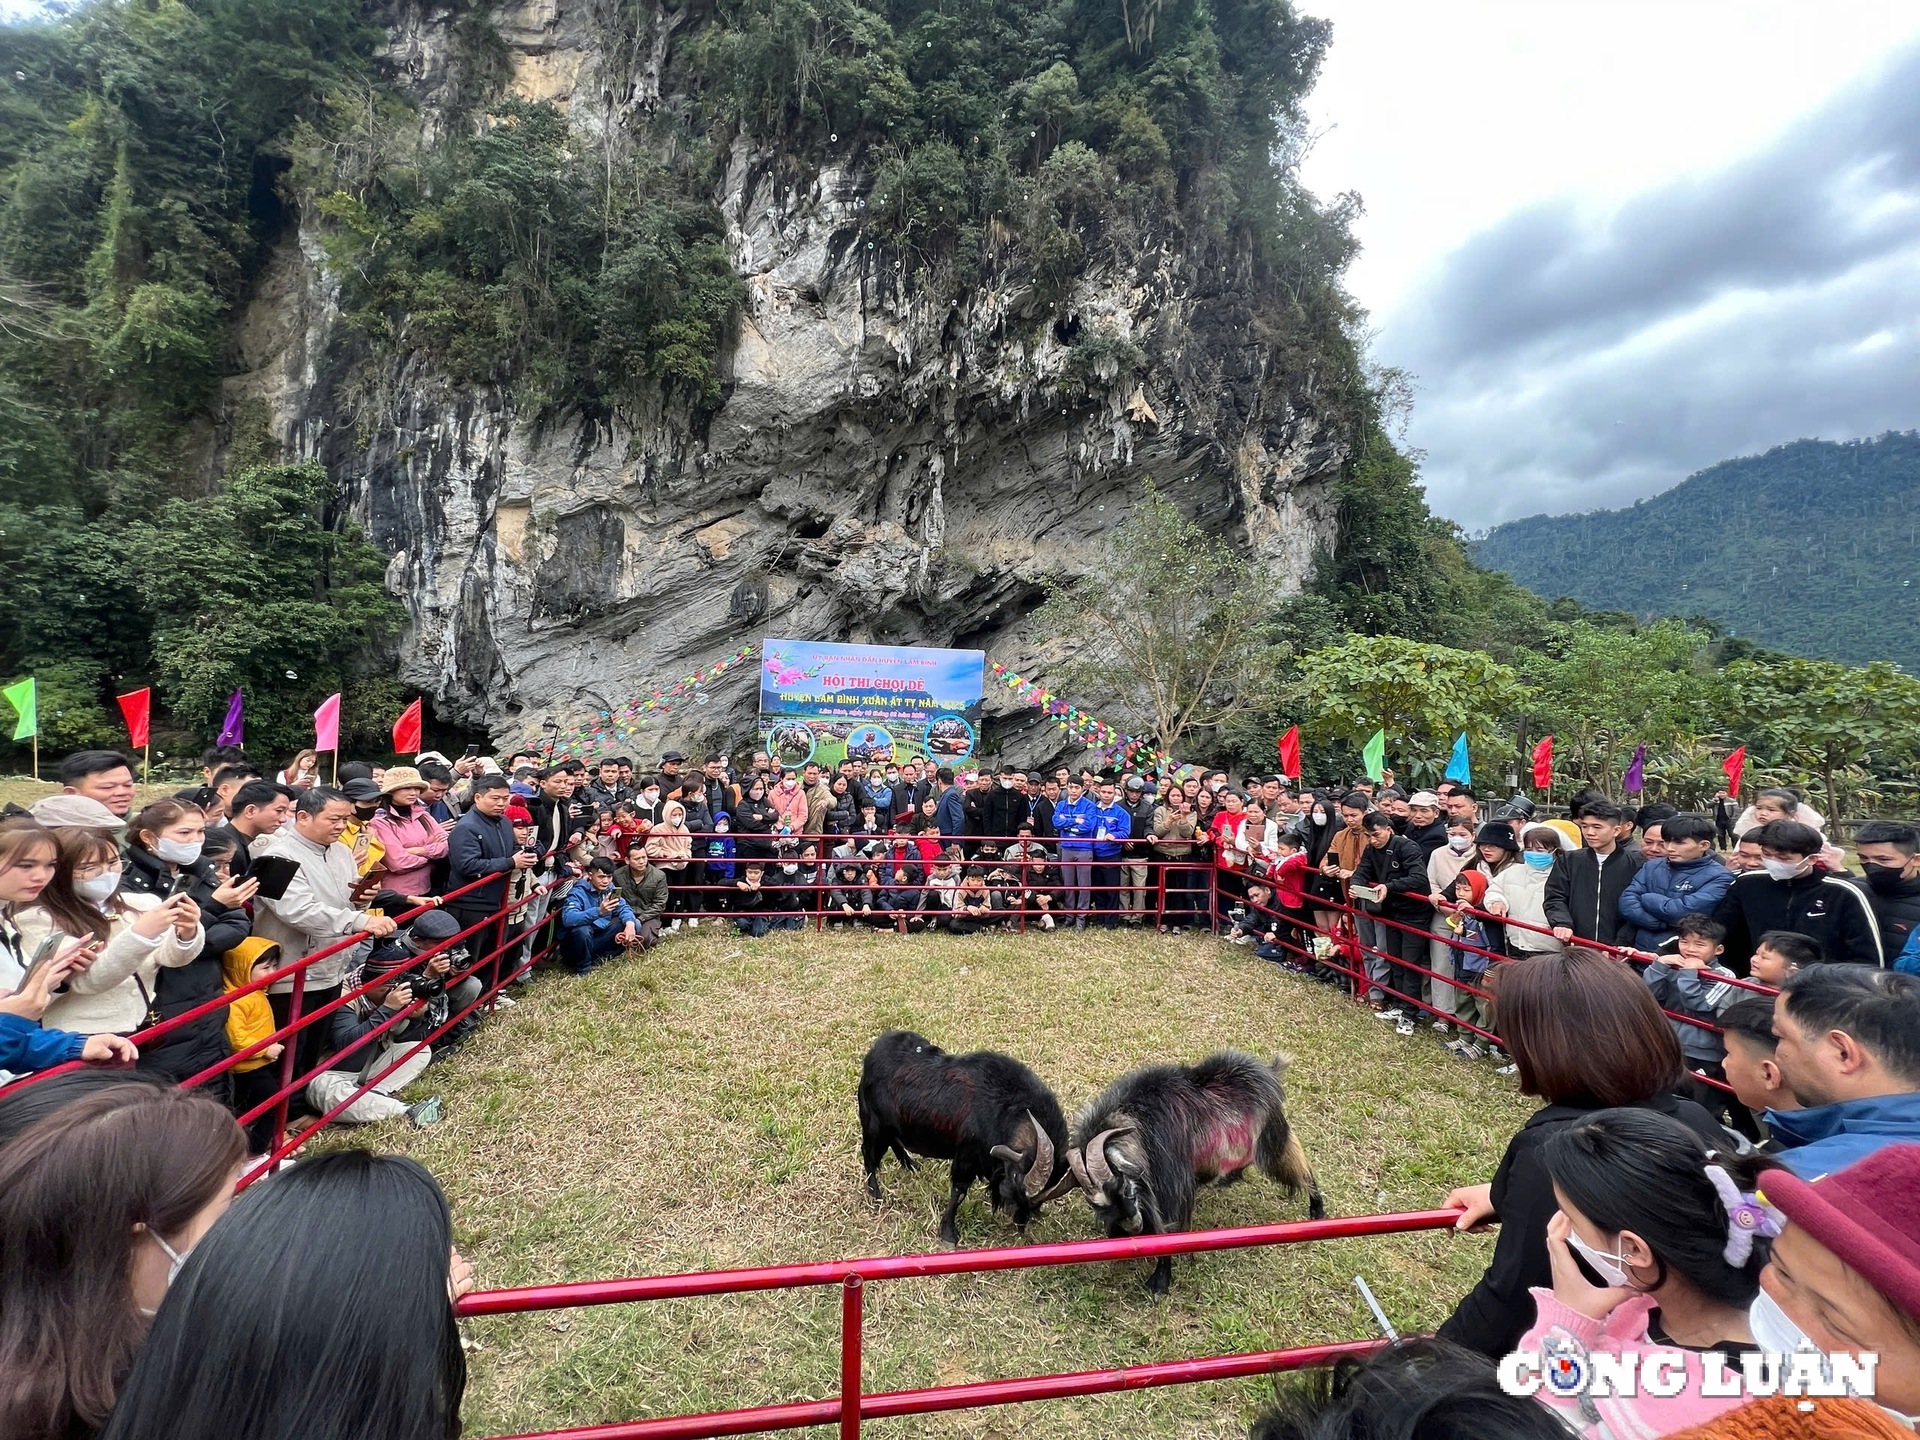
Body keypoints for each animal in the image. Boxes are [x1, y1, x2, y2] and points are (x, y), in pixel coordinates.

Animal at [860, 1029, 1075, 1244]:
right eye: (1016, 1175)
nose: (1018, 1220)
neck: (1006, 1106)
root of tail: (872, 1054)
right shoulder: (967, 1155)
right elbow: (959, 1192)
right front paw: (948, 1234)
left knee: (894, 1141)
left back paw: (910, 1164)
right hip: (873, 1124)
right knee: (869, 1154)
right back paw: (876, 1194)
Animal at [1067, 1052, 1320, 1297]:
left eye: (1124, 1188)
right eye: (1097, 1205)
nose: (1134, 1227)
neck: (1138, 1120)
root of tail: (1268, 1071)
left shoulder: (1171, 1186)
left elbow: (1167, 1231)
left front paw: (1160, 1282)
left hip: (1273, 1140)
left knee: (1301, 1169)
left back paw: (1317, 1209)